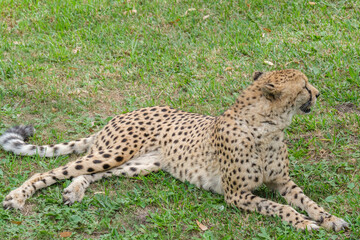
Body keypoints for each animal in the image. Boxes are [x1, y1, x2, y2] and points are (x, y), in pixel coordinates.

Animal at [0, 69, 348, 231]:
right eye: (304, 86)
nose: (318, 93)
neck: (266, 126)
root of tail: (121, 114)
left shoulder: (282, 182)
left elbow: (307, 201)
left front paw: (330, 219)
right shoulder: (236, 195)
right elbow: (280, 208)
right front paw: (304, 223)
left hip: (139, 164)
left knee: (88, 174)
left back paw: (74, 191)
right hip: (115, 152)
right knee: (50, 171)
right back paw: (17, 197)